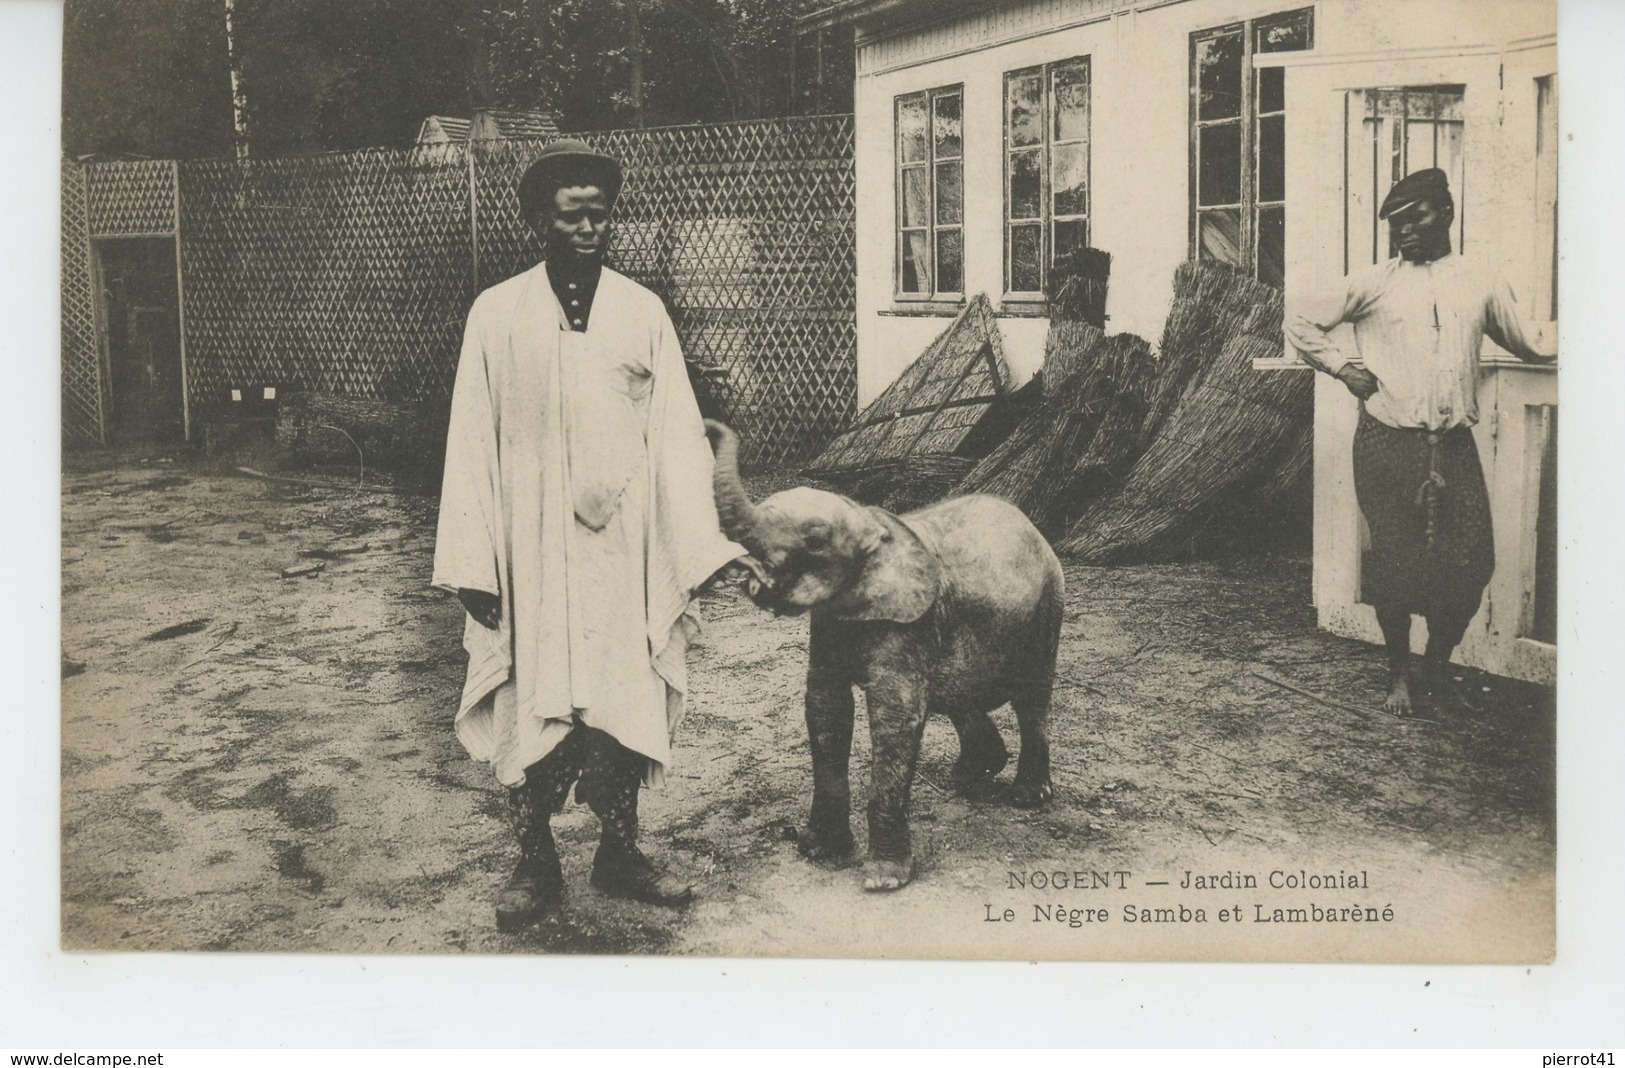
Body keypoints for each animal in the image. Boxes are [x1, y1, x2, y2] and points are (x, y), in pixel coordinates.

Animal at [702, 419, 1066, 884]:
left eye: (815, 540)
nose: (711, 424)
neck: (870, 523)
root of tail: (1031, 526)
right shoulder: (832, 621)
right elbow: (826, 709)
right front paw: (820, 850)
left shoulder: (912, 622)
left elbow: (895, 715)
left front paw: (883, 879)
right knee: (959, 695)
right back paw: (969, 778)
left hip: (1047, 605)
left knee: (1031, 695)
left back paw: (1027, 796)